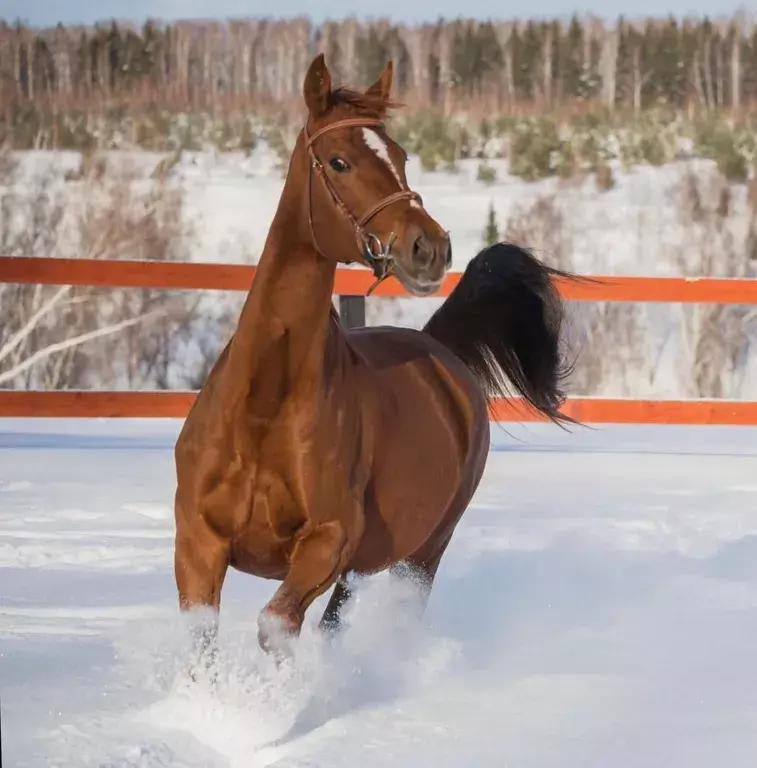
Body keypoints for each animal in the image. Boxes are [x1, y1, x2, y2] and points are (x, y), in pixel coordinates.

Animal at [173, 54, 572, 664]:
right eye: (339, 162)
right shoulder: (197, 542)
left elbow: (274, 626)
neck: (264, 405)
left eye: (402, 157)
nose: (430, 248)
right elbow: (203, 644)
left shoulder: (328, 539)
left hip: (423, 553)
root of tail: (439, 349)